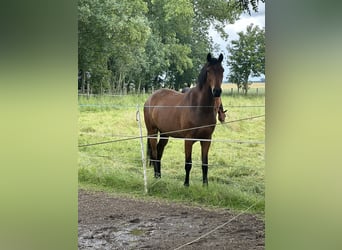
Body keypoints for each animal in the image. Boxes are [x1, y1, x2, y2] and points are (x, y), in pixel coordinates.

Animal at [144, 52, 224, 186]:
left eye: (222, 70)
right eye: (208, 71)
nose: (217, 91)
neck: (199, 107)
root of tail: (150, 98)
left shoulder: (207, 139)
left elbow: (205, 164)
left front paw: (205, 185)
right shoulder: (188, 139)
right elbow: (188, 163)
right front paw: (186, 184)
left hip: (165, 133)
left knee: (159, 152)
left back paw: (159, 176)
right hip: (152, 132)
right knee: (154, 153)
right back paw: (156, 176)